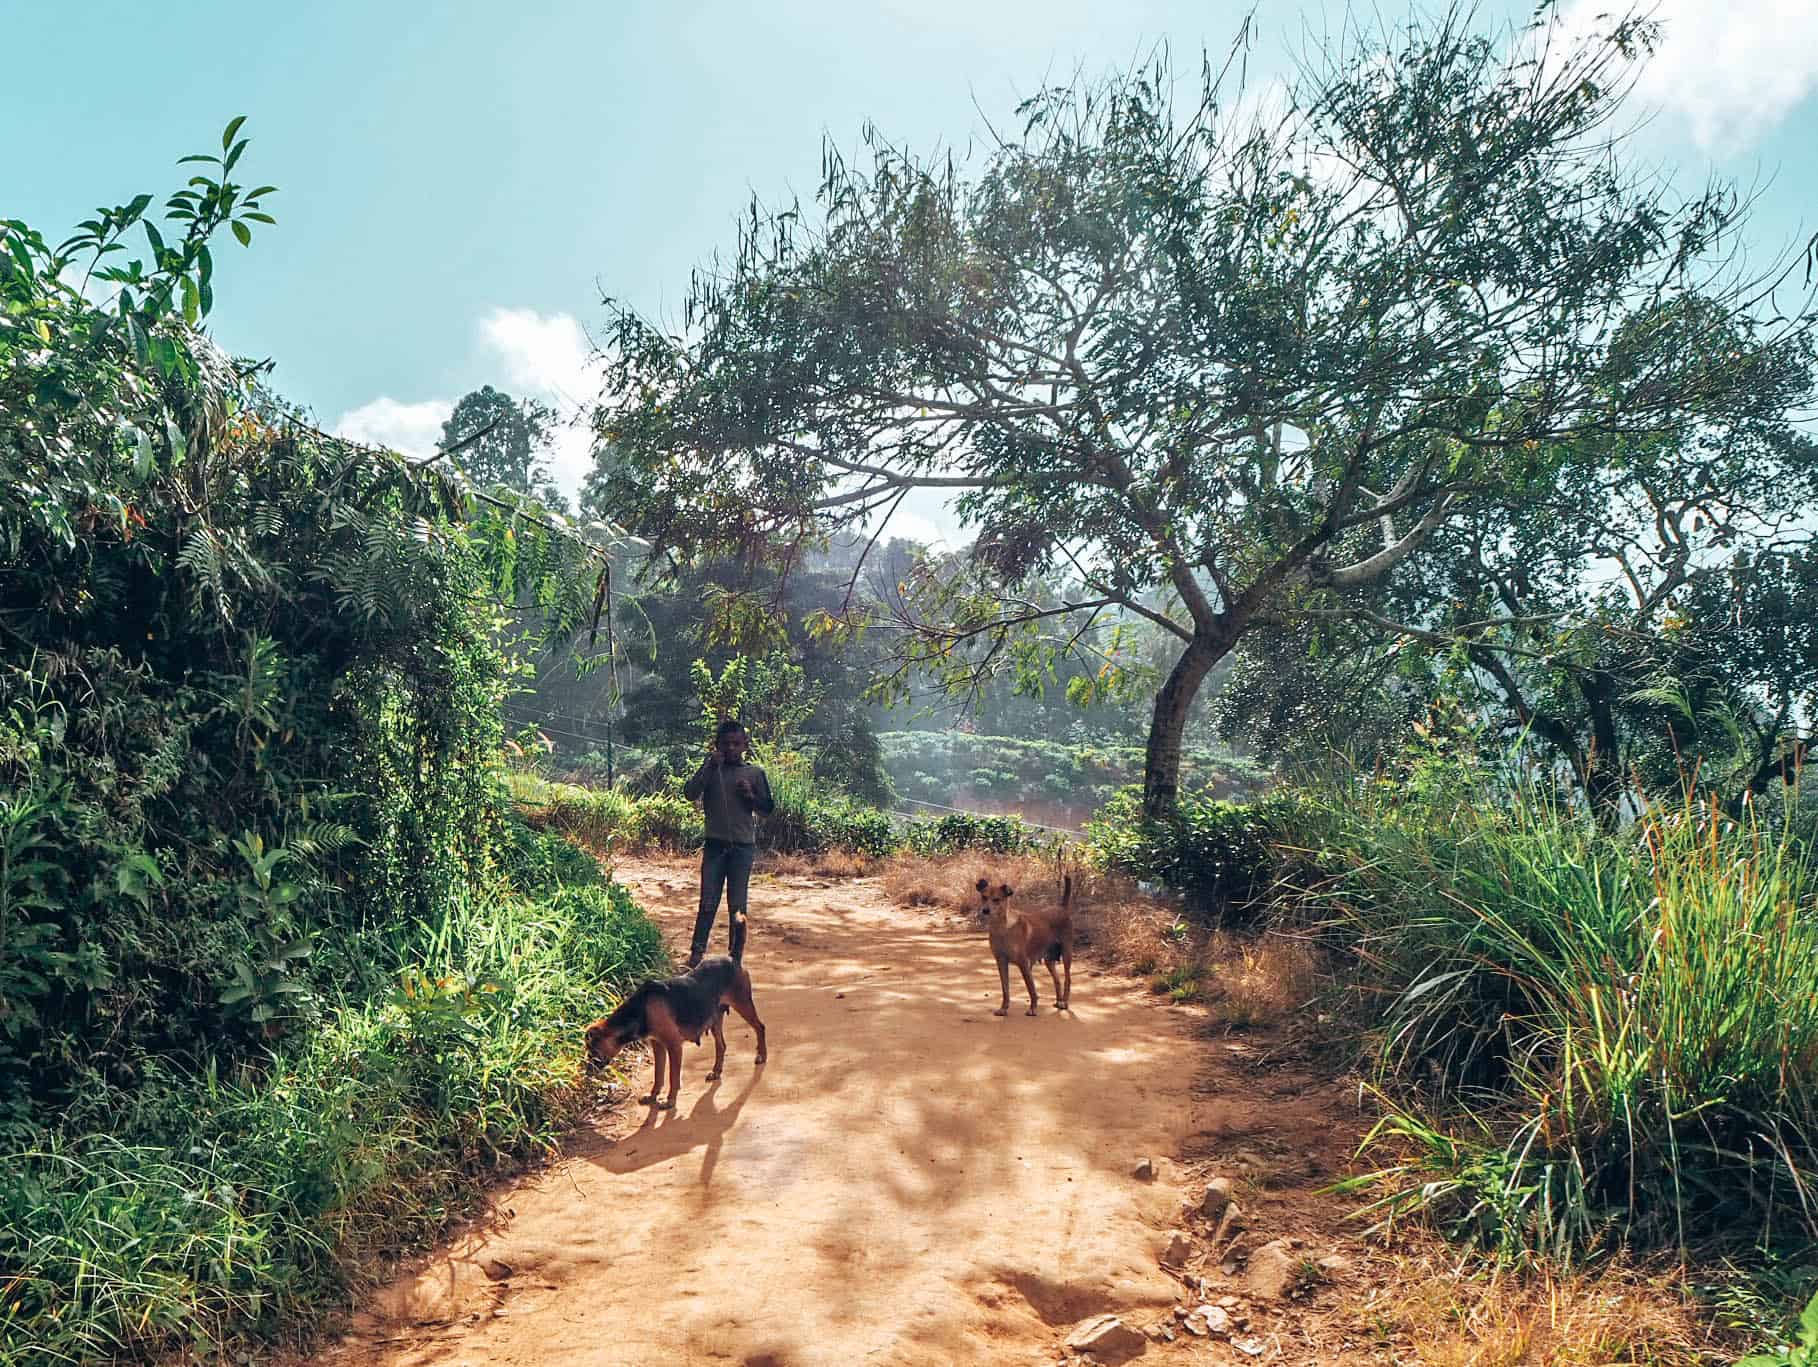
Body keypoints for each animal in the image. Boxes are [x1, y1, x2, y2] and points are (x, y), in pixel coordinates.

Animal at [585, 912, 763, 1105]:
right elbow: (658, 1076)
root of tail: (733, 957)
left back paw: (762, 1056)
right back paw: (716, 1071)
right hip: (715, 1018)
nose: (587, 1074)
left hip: (743, 1003)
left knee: (760, 1027)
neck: (640, 1009)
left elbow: (673, 1077)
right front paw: (653, 1096)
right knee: (722, 1045)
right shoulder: (658, 1045)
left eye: (593, 1050)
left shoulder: (674, 1045)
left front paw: (670, 1100)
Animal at [974, 876, 1068, 1017]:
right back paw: (1059, 1001)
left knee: (1068, 979)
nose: (985, 910)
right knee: (1057, 980)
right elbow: (1005, 989)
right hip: (1049, 960)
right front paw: (1004, 1008)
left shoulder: (1024, 963)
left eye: (996, 899)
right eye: (984, 897)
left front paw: (1033, 1008)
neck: (1002, 929)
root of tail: (1062, 908)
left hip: (1067, 953)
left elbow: (1031, 989)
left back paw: (1064, 1002)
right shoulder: (1001, 961)